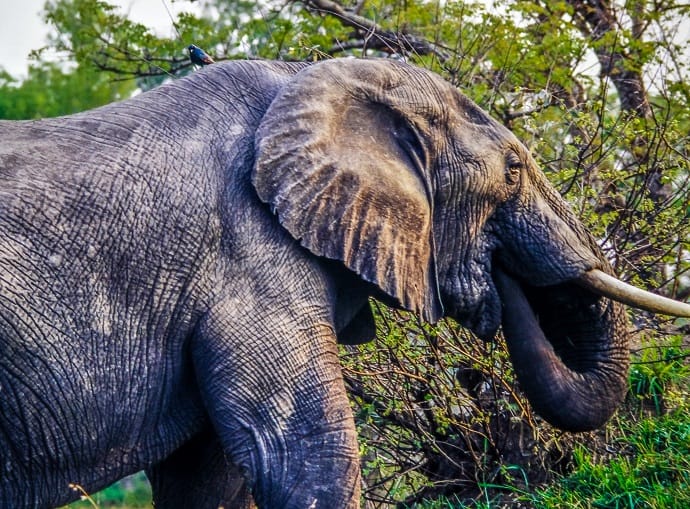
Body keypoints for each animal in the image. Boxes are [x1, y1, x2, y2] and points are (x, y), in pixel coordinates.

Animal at [1, 57, 688, 506]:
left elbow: (209, 479)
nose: (495, 273)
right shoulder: (250, 260)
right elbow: (307, 453)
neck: (309, 79)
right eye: (514, 170)